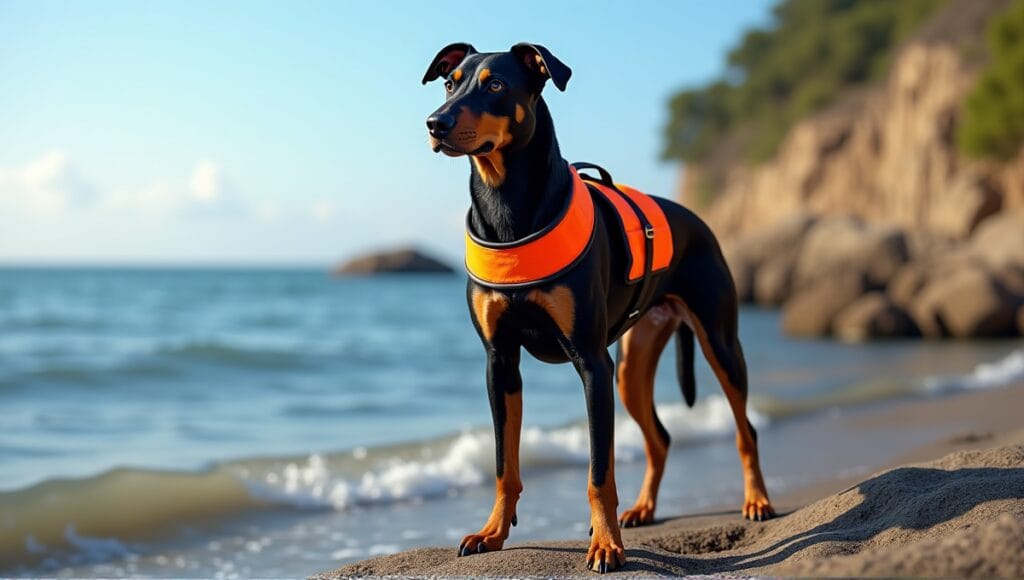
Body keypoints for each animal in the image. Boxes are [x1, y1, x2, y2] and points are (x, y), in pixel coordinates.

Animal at [419, 42, 770, 577]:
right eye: (448, 83)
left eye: (495, 84)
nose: (435, 123)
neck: (507, 205)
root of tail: (698, 220)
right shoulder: (500, 362)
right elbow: (503, 464)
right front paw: (492, 532)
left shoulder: (591, 362)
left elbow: (599, 470)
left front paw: (606, 545)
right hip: (631, 367)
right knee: (660, 438)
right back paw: (643, 509)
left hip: (718, 342)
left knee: (744, 427)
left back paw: (756, 500)